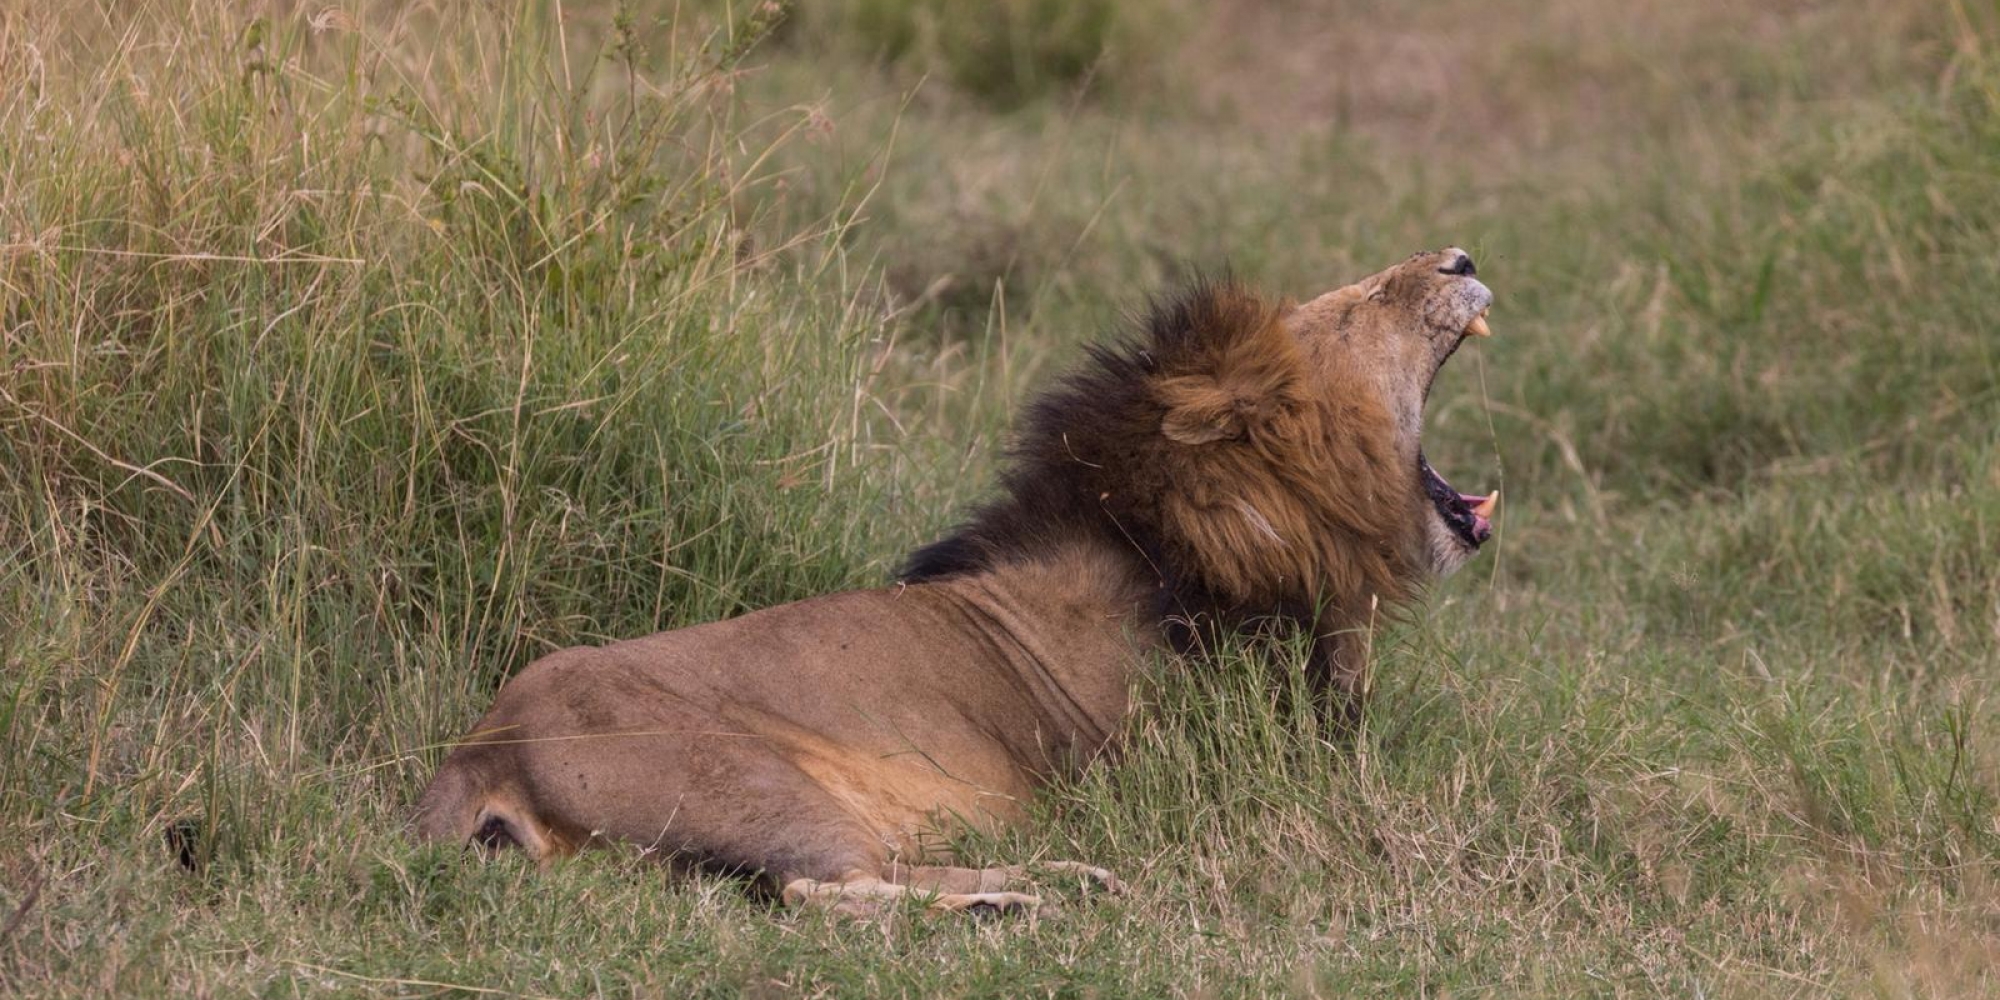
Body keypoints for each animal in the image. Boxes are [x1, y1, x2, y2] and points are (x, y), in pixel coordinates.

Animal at [410, 248, 1504, 916]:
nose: (1458, 261)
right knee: (818, 890)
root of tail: (478, 748)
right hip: (745, 774)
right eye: (1354, 310)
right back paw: (1015, 899)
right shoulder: (1211, 769)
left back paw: (1060, 875)